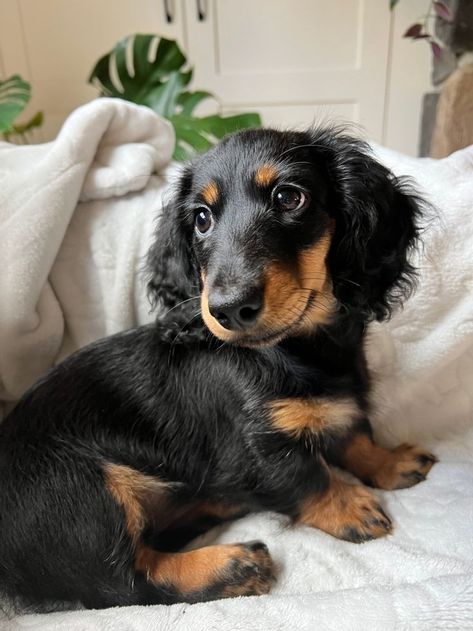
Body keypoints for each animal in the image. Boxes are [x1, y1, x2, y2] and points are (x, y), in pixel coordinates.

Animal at [0, 128, 436, 612]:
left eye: (289, 197)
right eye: (202, 219)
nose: (227, 310)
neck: (297, 352)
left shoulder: (342, 402)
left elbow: (354, 435)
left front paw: (390, 461)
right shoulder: (259, 449)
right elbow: (308, 476)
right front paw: (349, 508)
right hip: (79, 486)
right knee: (125, 583)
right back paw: (233, 566)